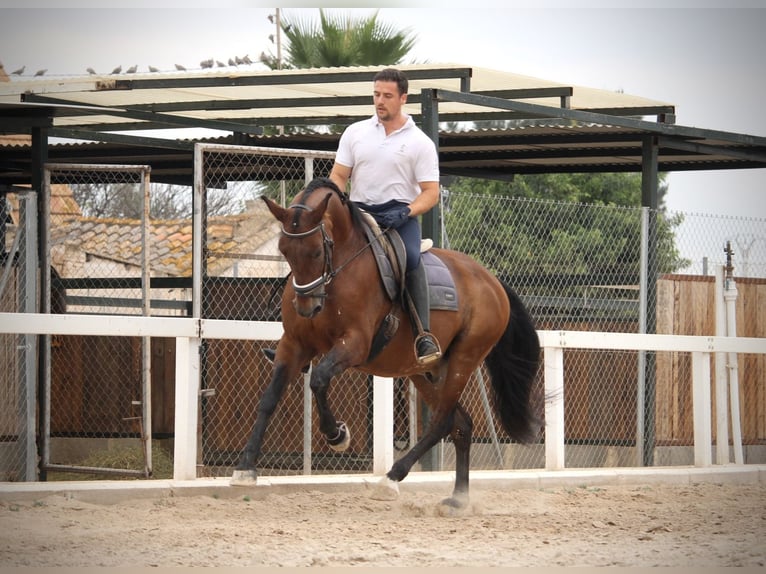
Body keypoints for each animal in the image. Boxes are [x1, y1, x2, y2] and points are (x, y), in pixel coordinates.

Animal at [232, 176, 541, 508]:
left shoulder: (355, 344)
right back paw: (457, 498)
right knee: (461, 424)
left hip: (464, 359)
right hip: (423, 372)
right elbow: (269, 398)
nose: (307, 307)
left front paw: (337, 435)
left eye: (316, 252)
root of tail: (493, 282)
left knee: (442, 421)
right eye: (284, 250)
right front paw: (245, 468)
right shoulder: (294, 345)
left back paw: (392, 478)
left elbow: (318, 379)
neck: (339, 268)